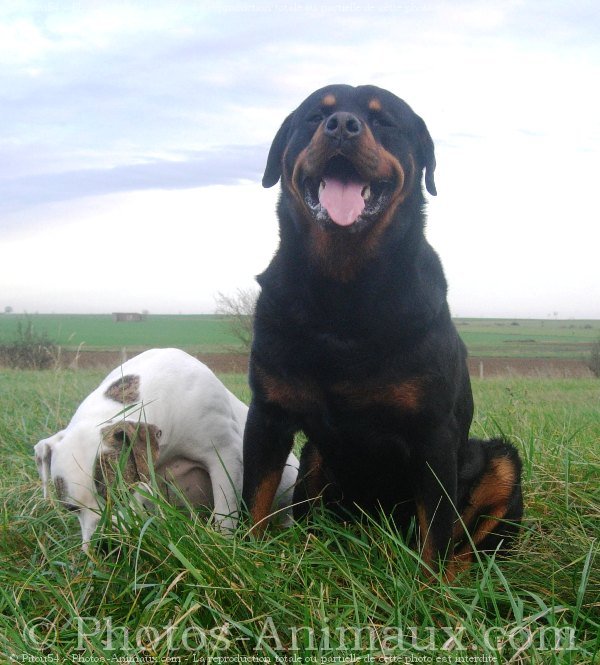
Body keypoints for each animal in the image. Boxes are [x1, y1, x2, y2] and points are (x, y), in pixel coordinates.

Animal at [34, 348, 298, 548]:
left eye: (122, 494)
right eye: (70, 509)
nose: (102, 544)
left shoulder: (224, 455)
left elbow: (225, 513)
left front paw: (225, 543)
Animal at [241, 84, 524, 576]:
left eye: (385, 121)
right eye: (315, 116)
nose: (341, 125)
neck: (343, 291)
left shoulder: (434, 433)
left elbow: (436, 532)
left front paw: (429, 590)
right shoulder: (268, 413)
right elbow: (254, 500)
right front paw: (249, 565)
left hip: (499, 463)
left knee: (471, 543)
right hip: (315, 459)